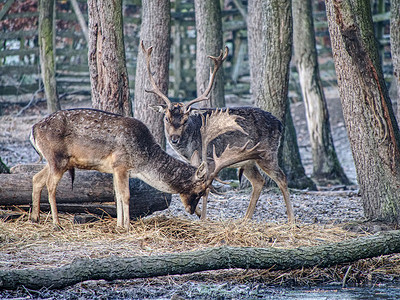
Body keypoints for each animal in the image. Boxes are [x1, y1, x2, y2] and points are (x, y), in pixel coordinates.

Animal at [30, 106, 262, 231]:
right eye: (199, 190)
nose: (190, 210)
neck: (143, 162)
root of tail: (33, 129)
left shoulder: (115, 169)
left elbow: (117, 195)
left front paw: (119, 224)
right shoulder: (121, 163)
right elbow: (125, 195)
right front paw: (126, 226)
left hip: (54, 161)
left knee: (36, 178)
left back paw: (35, 218)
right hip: (57, 158)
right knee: (50, 185)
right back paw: (56, 223)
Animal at [142, 41, 296, 223]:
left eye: (185, 120)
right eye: (166, 118)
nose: (174, 139)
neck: (190, 147)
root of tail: (279, 124)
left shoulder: (209, 159)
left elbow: (207, 189)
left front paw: (203, 219)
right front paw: (196, 212)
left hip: (267, 153)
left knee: (282, 178)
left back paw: (291, 220)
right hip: (248, 160)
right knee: (258, 181)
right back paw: (245, 220)